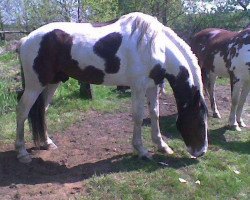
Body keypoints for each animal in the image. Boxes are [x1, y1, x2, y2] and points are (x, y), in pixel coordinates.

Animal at [14, 12, 208, 162]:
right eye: (200, 121)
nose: (201, 152)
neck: (155, 46)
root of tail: (25, 39)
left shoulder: (153, 86)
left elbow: (155, 113)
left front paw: (162, 146)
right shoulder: (138, 87)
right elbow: (138, 116)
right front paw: (142, 150)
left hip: (52, 83)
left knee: (42, 110)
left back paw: (47, 143)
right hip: (35, 85)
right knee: (22, 110)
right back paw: (22, 153)